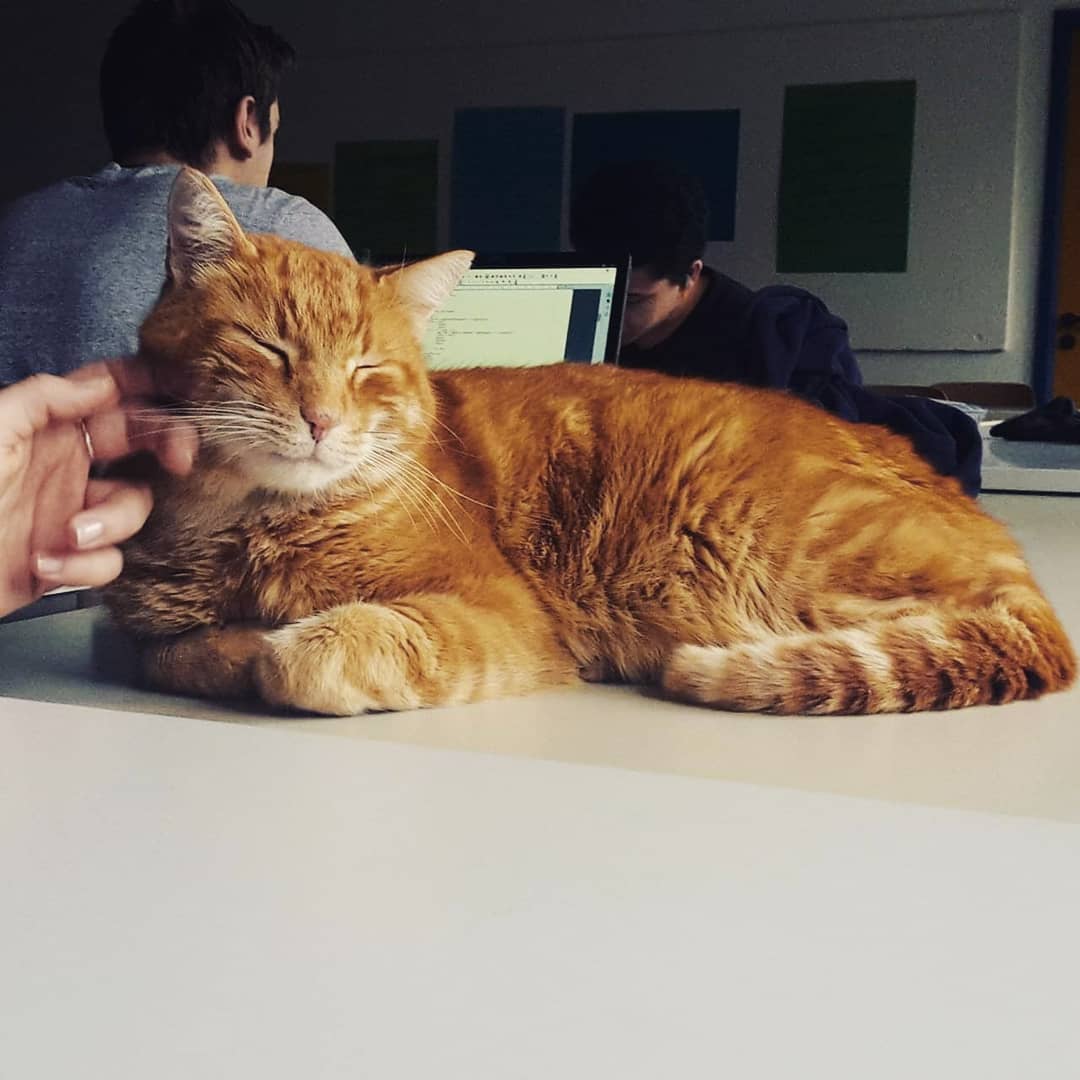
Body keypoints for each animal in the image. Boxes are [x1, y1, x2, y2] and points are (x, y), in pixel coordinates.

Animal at [104, 167, 1076, 716]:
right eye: (267, 348)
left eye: (367, 369)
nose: (320, 419)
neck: (253, 529)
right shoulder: (139, 622)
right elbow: (171, 653)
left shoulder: (499, 615)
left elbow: (304, 658)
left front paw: (278, 646)